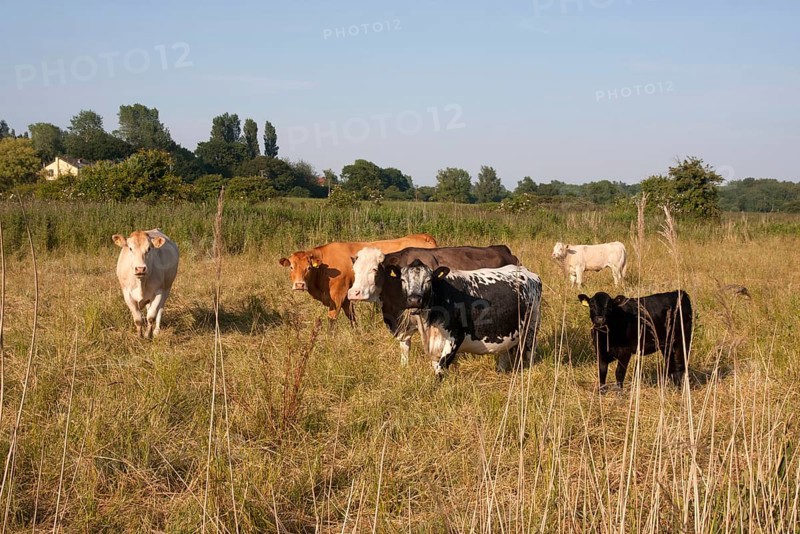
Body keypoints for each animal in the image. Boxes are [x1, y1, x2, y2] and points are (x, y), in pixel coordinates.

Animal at [278, 233, 437, 327]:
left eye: (309, 267)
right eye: (291, 267)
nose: (299, 285)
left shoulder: (337, 296)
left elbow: (332, 319)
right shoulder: (347, 297)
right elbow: (352, 317)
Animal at [387, 260, 542, 376]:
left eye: (428, 280)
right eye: (403, 279)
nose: (414, 300)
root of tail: (529, 273)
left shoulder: (456, 337)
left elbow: (440, 370)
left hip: (532, 325)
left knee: (530, 351)